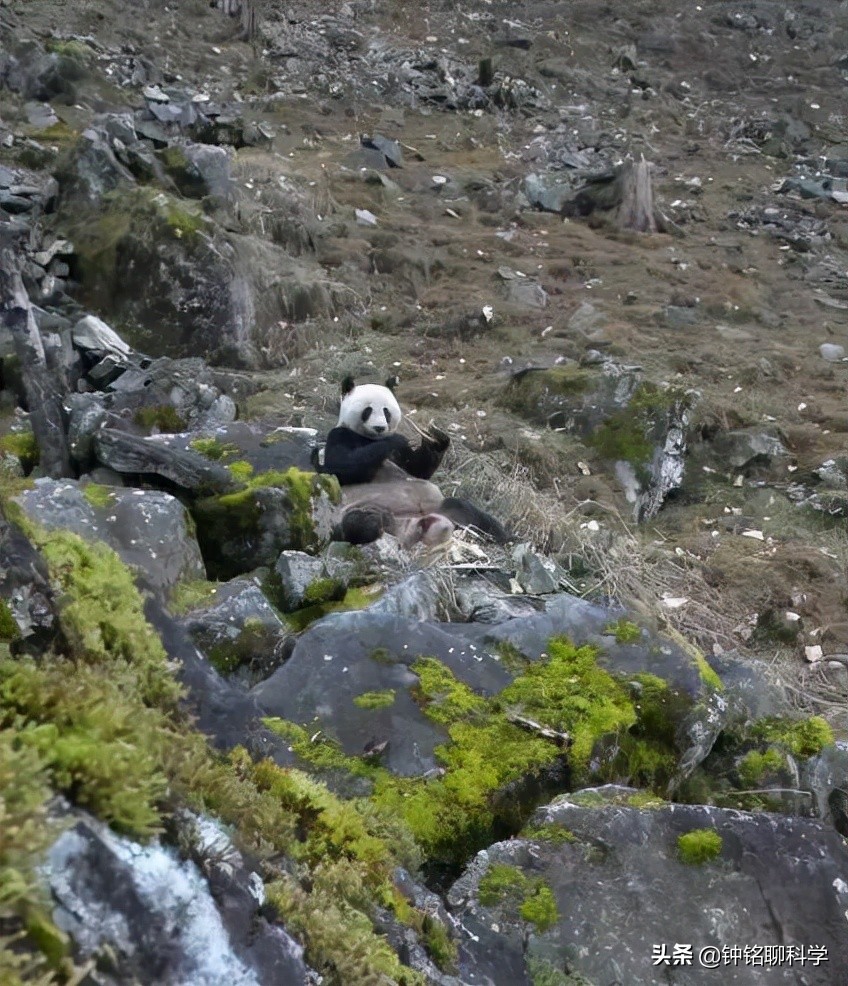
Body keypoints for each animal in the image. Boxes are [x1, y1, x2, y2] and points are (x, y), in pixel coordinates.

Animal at [314, 374, 506, 544]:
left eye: (386, 411)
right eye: (368, 410)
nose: (379, 427)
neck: (371, 439)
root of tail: (413, 521)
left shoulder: (404, 455)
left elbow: (418, 470)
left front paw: (436, 438)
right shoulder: (341, 435)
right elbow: (339, 467)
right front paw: (394, 440)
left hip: (440, 507)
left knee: (466, 509)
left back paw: (505, 536)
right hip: (347, 513)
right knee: (355, 522)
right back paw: (376, 519)